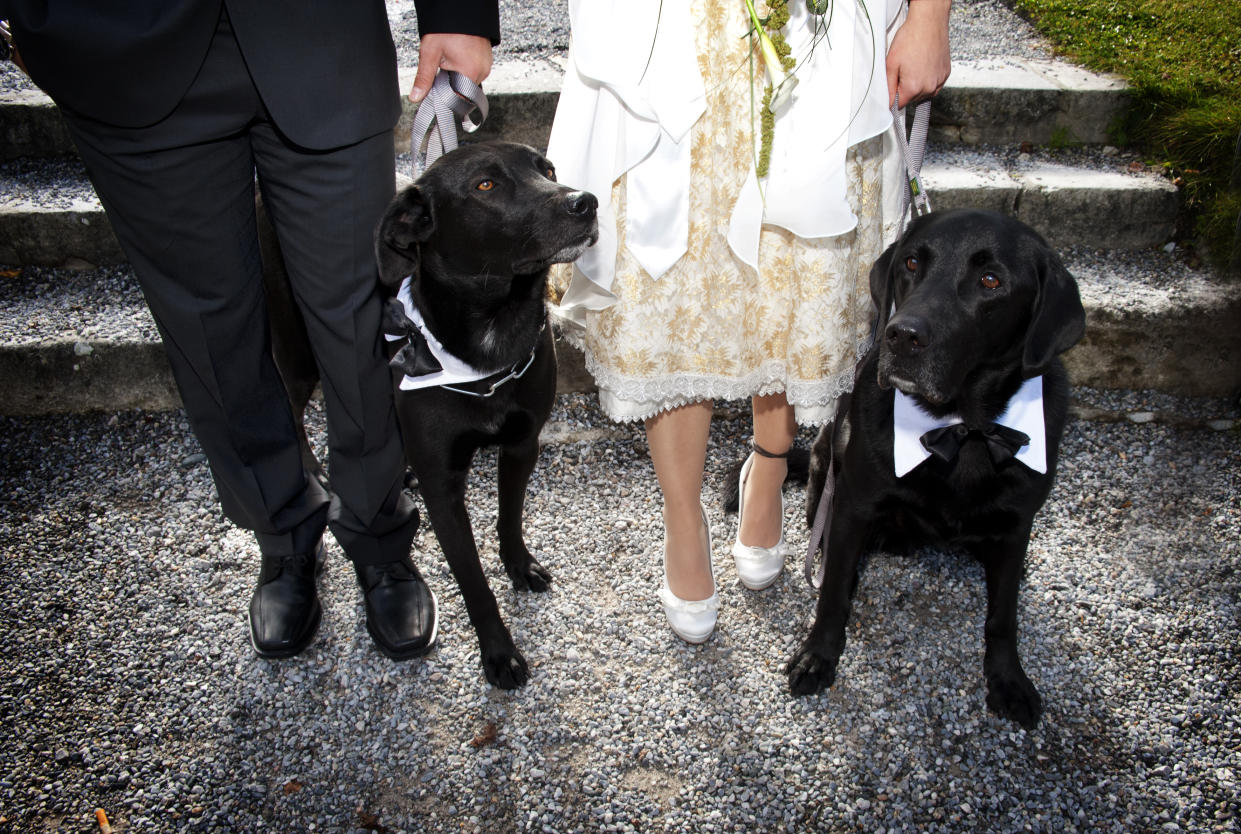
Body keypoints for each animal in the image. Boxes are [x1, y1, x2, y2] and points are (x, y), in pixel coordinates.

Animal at [369, 145, 598, 690]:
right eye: (485, 186)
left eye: (547, 170)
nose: (586, 202)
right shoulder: (442, 488)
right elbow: (472, 580)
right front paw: (498, 651)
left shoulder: (522, 444)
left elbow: (509, 516)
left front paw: (519, 565)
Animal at [784, 209, 1087, 729]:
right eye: (911, 262)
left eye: (991, 281)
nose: (901, 336)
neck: (962, 428)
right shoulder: (853, 507)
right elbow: (833, 592)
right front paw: (817, 655)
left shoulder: (1017, 525)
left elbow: (1002, 616)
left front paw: (1009, 679)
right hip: (828, 462)